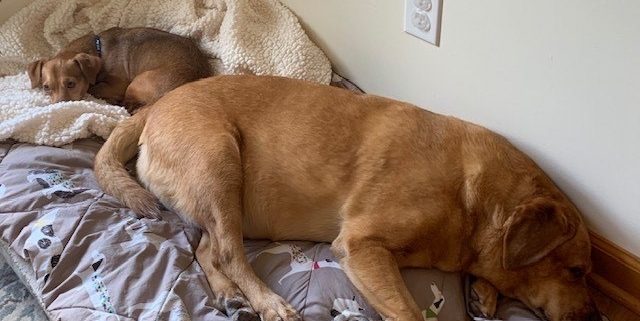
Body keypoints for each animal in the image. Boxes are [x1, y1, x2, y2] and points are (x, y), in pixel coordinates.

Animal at [26, 27, 210, 112]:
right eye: (46, 87)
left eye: (71, 84)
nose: (59, 107)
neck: (98, 50)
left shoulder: (118, 85)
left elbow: (95, 87)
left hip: (136, 83)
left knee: (127, 105)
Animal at [94, 75, 600, 320]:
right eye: (577, 271)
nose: (595, 317)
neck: (472, 201)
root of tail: (153, 107)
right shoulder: (362, 247)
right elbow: (410, 312)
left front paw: (485, 294)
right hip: (221, 161)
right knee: (229, 253)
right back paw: (267, 302)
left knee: (206, 250)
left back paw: (228, 294)